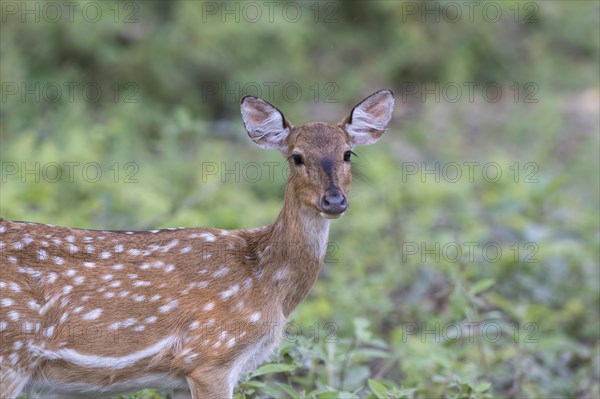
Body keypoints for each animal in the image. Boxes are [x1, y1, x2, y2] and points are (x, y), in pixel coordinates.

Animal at [0, 89, 396, 398]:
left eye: (348, 153)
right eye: (296, 156)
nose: (334, 200)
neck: (266, 279)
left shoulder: (180, 376)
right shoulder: (211, 356)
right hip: (10, 356)